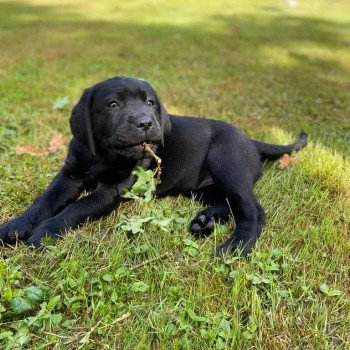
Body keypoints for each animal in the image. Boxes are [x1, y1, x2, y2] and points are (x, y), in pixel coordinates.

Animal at [0, 78, 306, 256]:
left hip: (226, 163)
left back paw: (236, 246)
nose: (146, 123)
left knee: (253, 210)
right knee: (225, 203)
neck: (104, 156)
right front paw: (15, 227)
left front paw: (45, 232)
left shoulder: (113, 190)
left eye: (150, 102)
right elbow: (44, 200)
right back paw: (204, 221)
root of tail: (250, 140)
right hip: (202, 187)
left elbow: (76, 208)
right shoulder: (70, 174)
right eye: (113, 104)